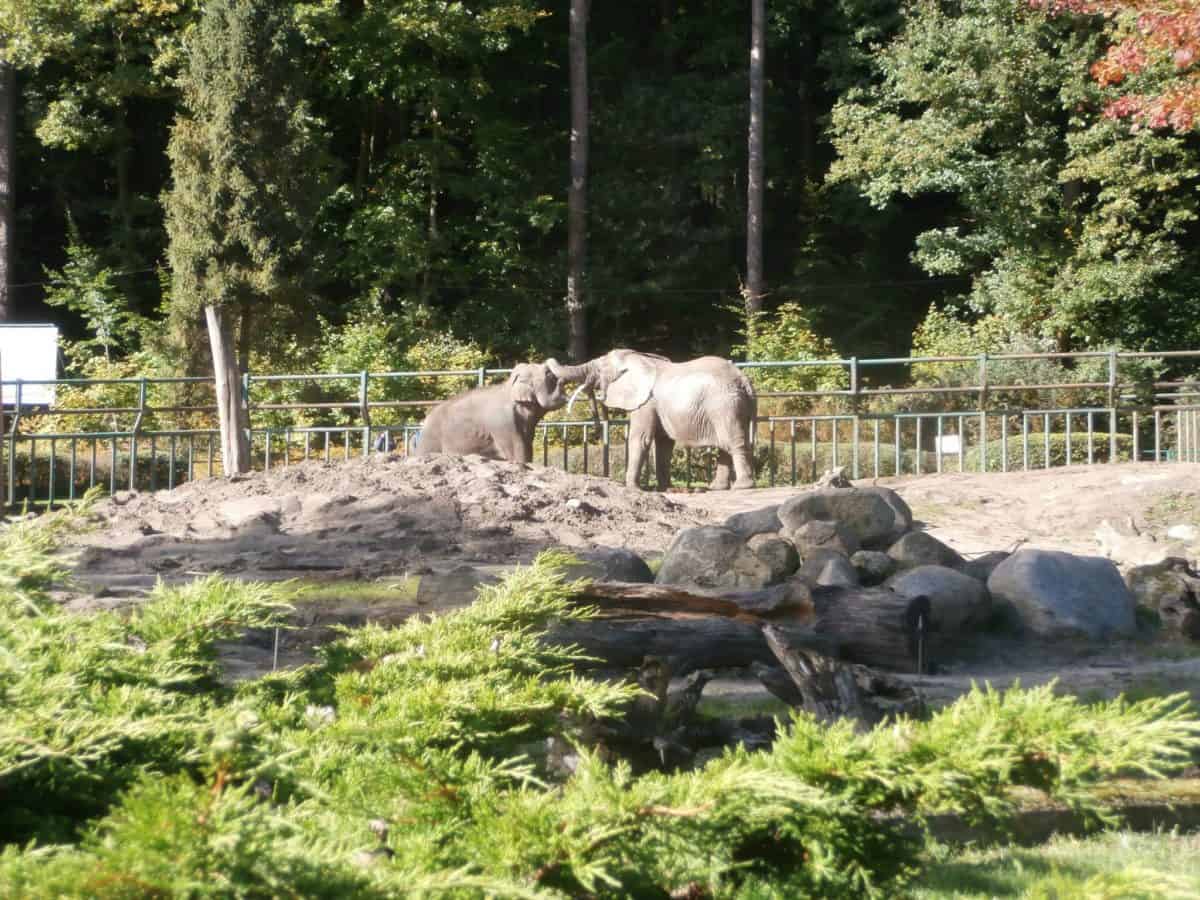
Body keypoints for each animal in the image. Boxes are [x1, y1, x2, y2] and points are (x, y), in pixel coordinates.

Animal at [415, 362, 567, 462]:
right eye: (549, 375)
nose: (562, 381)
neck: (509, 387)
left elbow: (527, 447)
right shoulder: (504, 423)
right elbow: (517, 452)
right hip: (430, 440)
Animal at [547, 349, 757, 491]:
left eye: (598, 369)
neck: (641, 359)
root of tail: (744, 379)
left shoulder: (646, 402)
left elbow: (641, 439)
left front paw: (631, 488)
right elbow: (664, 444)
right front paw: (665, 488)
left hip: (724, 405)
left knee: (733, 442)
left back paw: (742, 486)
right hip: (734, 406)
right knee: (725, 445)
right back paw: (717, 488)